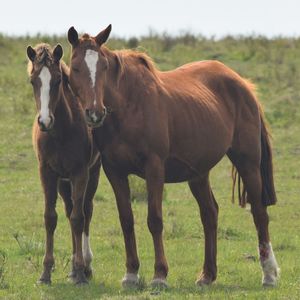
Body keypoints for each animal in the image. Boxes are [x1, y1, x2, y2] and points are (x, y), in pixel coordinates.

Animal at [26, 43, 101, 284]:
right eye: (33, 80)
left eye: (58, 80)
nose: (44, 121)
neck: (60, 132)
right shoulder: (47, 172)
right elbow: (51, 217)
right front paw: (46, 272)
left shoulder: (80, 172)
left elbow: (79, 218)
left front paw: (80, 271)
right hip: (63, 180)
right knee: (69, 210)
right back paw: (73, 269)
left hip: (93, 173)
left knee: (86, 210)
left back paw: (85, 266)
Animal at [67, 24, 278, 288]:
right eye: (75, 67)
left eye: (103, 67)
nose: (95, 113)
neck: (129, 106)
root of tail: (242, 84)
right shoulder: (114, 171)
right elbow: (126, 220)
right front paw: (131, 274)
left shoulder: (154, 168)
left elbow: (155, 220)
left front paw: (159, 275)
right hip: (198, 173)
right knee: (210, 214)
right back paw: (207, 275)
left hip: (247, 161)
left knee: (259, 213)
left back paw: (269, 273)